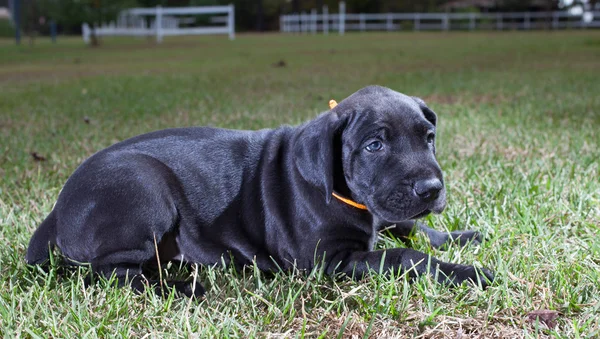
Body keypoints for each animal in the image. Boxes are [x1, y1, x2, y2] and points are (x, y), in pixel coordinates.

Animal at [27, 86, 492, 296]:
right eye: (374, 145)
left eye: (428, 138)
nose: (432, 189)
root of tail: (56, 210)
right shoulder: (327, 260)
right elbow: (404, 255)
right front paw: (469, 272)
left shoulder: (385, 214)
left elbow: (410, 229)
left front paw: (462, 235)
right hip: (145, 186)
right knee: (112, 273)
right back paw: (185, 287)